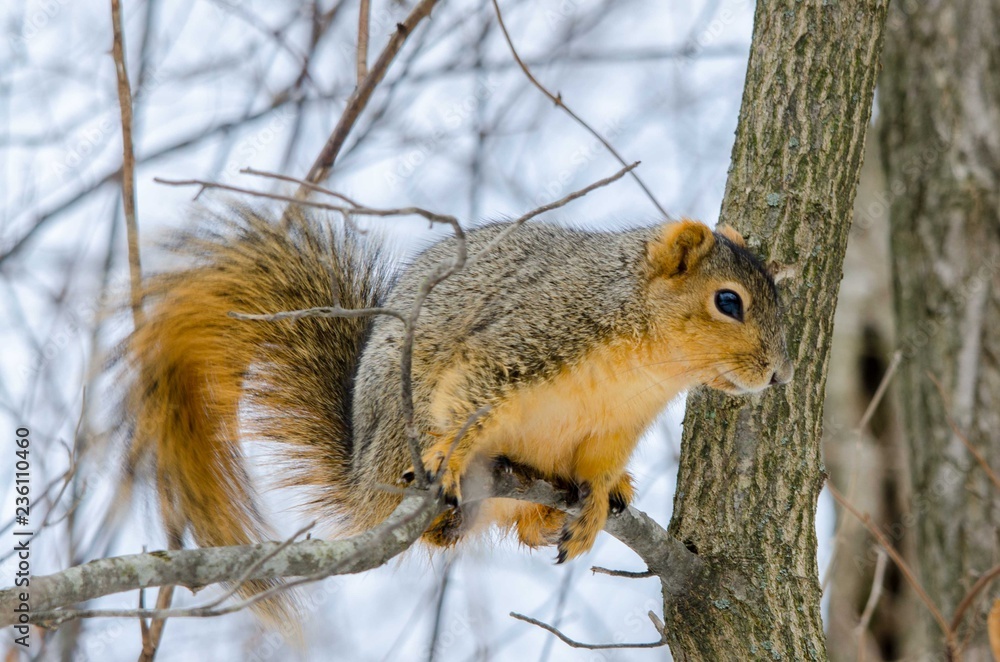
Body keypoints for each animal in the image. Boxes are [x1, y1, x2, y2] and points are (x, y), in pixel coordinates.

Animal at [123, 204, 793, 576]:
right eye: (728, 301)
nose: (780, 374)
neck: (648, 366)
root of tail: (361, 476)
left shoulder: (614, 424)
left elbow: (599, 464)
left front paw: (601, 498)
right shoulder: (520, 342)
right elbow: (469, 398)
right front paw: (449, 456)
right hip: (402, 429)